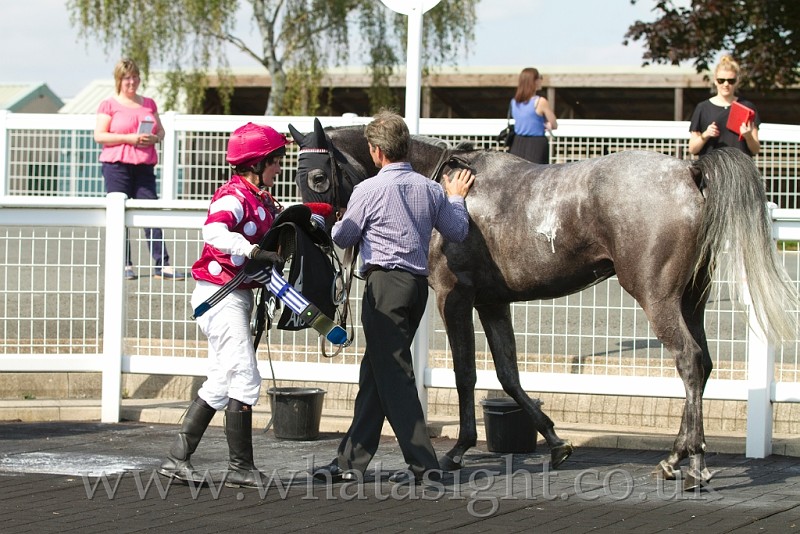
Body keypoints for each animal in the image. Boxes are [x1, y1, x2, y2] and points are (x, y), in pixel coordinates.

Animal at [288, 118, 798, 490]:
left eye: (318, 175)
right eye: (295, 174)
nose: (318, 232)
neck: (441, 185)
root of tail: (687, 172)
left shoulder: (455, 296)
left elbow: (466, 373)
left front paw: (457, 451)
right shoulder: (494, 303)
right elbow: (509, 375)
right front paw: (555, 441)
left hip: (657, 296)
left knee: (689, 362)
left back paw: (683, 463)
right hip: (694, 298)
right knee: (705, 363)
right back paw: (687, 457)